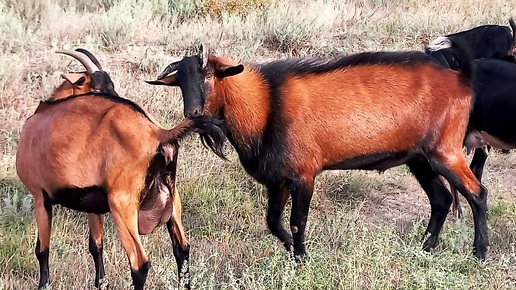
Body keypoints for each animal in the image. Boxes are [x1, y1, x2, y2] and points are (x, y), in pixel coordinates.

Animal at [16, 48, 221, 288]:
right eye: (98, 87)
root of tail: (158, 133)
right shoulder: (92, 205)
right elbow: (96, 246)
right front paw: (100, 283)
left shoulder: (40, 196)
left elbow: (42, 250)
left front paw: (44, 284)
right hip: (173, 200)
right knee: (182, 249)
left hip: (122, 205)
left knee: (140, 263)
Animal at [147, 43, 490, 260]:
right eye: (179, 82)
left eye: (208, 75)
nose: (193, 113)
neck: (267, 106)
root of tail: (461, 79)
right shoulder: (278, 180)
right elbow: (273, 221)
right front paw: (290, 250)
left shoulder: (303, 176)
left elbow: (298, 220)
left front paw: (301, 257)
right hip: (420, 159)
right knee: (441, 199)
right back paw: (425, 248)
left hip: (445, 151)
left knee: (477, 193)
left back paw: (479, 253)